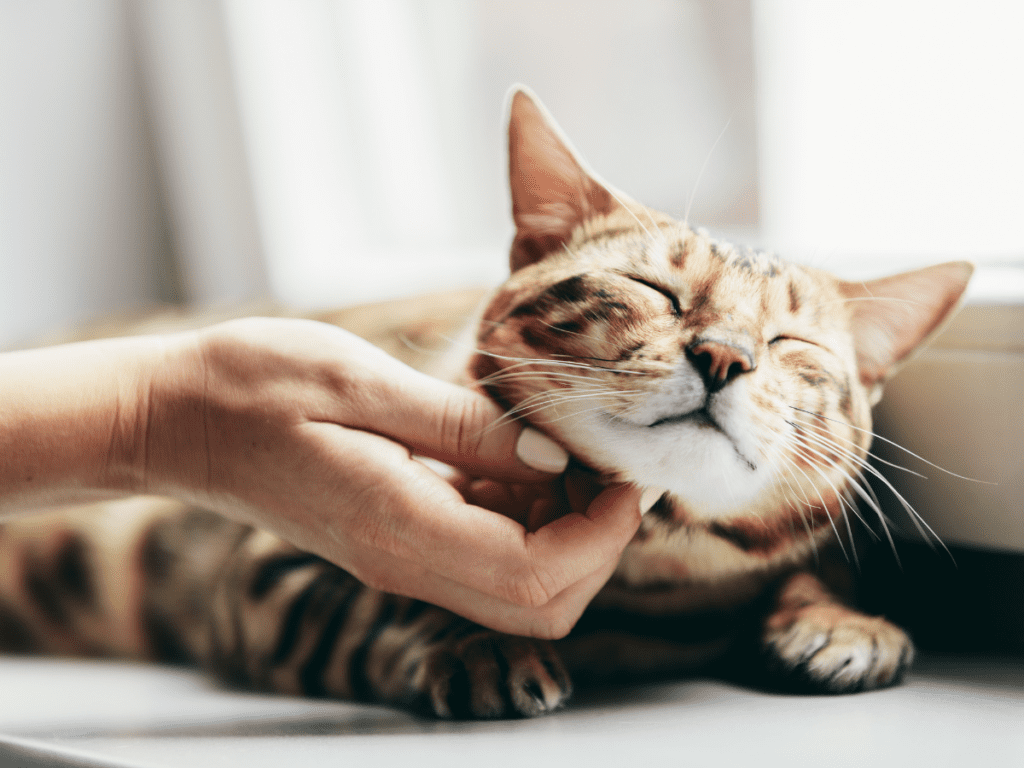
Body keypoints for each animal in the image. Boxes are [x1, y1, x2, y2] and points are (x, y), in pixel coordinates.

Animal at [0, 87, 970, 720]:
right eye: (653, 290)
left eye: (792, 346)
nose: (724, 355)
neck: (644, 585)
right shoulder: (266, 563)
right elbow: (382, 602)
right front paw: (476, 641)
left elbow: (810, 564)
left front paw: (841, 620)